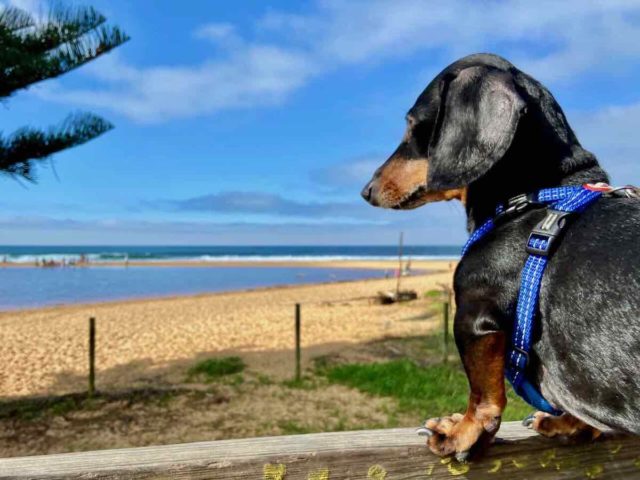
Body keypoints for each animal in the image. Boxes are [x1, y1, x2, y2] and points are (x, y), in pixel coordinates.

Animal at [360, 53, 640, 462]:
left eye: (411, 125)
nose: (366, 191)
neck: (534, 197)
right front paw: (568, 424)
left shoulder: (474, 317)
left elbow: (483, 396)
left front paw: (461, 432)